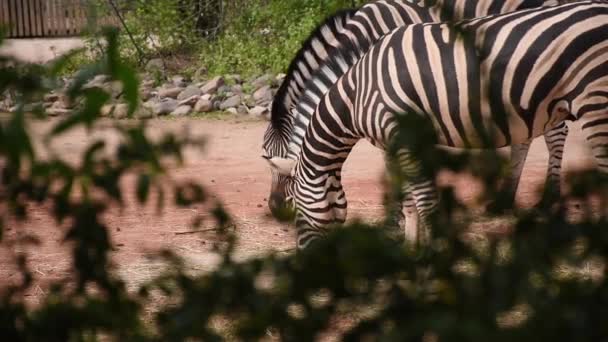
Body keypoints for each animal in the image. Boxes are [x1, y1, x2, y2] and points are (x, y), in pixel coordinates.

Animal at [264, 1, 608, 250]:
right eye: (265, 155)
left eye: (298, 210)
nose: (275, 209)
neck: (357, 90)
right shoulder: (406, 139)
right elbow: (413, 197)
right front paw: (410, 245)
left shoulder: (399, 134)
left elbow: (422, 198)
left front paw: (428, 252)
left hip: (593, 103)